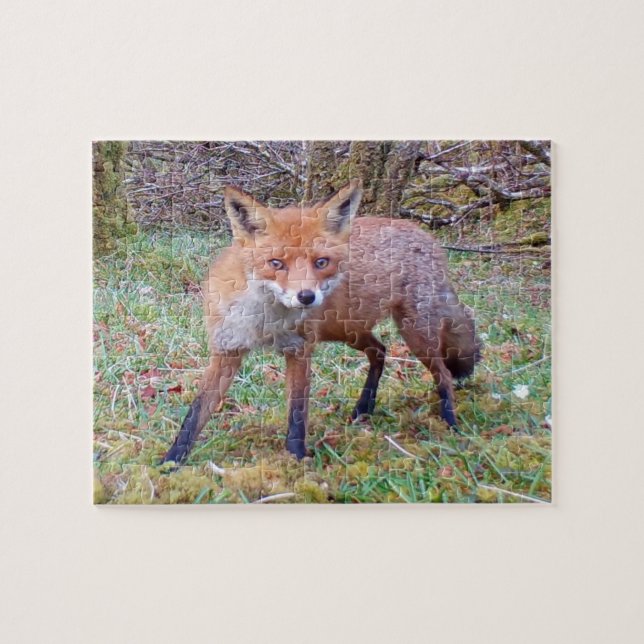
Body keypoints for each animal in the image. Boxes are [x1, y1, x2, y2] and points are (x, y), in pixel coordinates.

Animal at [163, 179, 480, 463]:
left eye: (321, 262)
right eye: (276, 263)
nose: (306, 297)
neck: (266, 321)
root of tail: (426, 236)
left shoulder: (299, 349)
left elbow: (296, 412)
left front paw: (296, 460)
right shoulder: (227, 349)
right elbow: (195, 412)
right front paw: (171, 462)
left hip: (414, 334)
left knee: (443, 374)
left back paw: (451, 424)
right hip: (348, 331)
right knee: (380, 351)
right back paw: (364, 408)